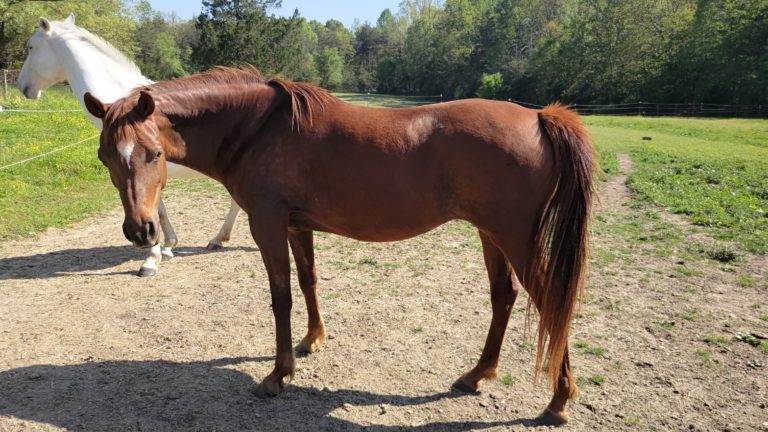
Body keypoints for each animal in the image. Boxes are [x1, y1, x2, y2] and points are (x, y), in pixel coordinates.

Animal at [16, 14, 244, 276]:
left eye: (31, 47)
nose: (22, 86)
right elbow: (159, 209)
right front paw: (167, 247)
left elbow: (153, 208)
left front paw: (151, 259)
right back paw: (218, 239)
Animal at [83, 66, 596, 425]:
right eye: (105, 156)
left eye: (154, 153)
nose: (142, 231)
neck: (257, 128)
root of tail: (539, 116)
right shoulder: (296, 227)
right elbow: (309, 282)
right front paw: (313, 340)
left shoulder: (267, 225)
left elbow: (281, 297)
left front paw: (278, 374)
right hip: (492, 236)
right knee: (503, 297)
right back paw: (478, 375)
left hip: (515, 239)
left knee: (551, 303)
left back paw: (558, 401)